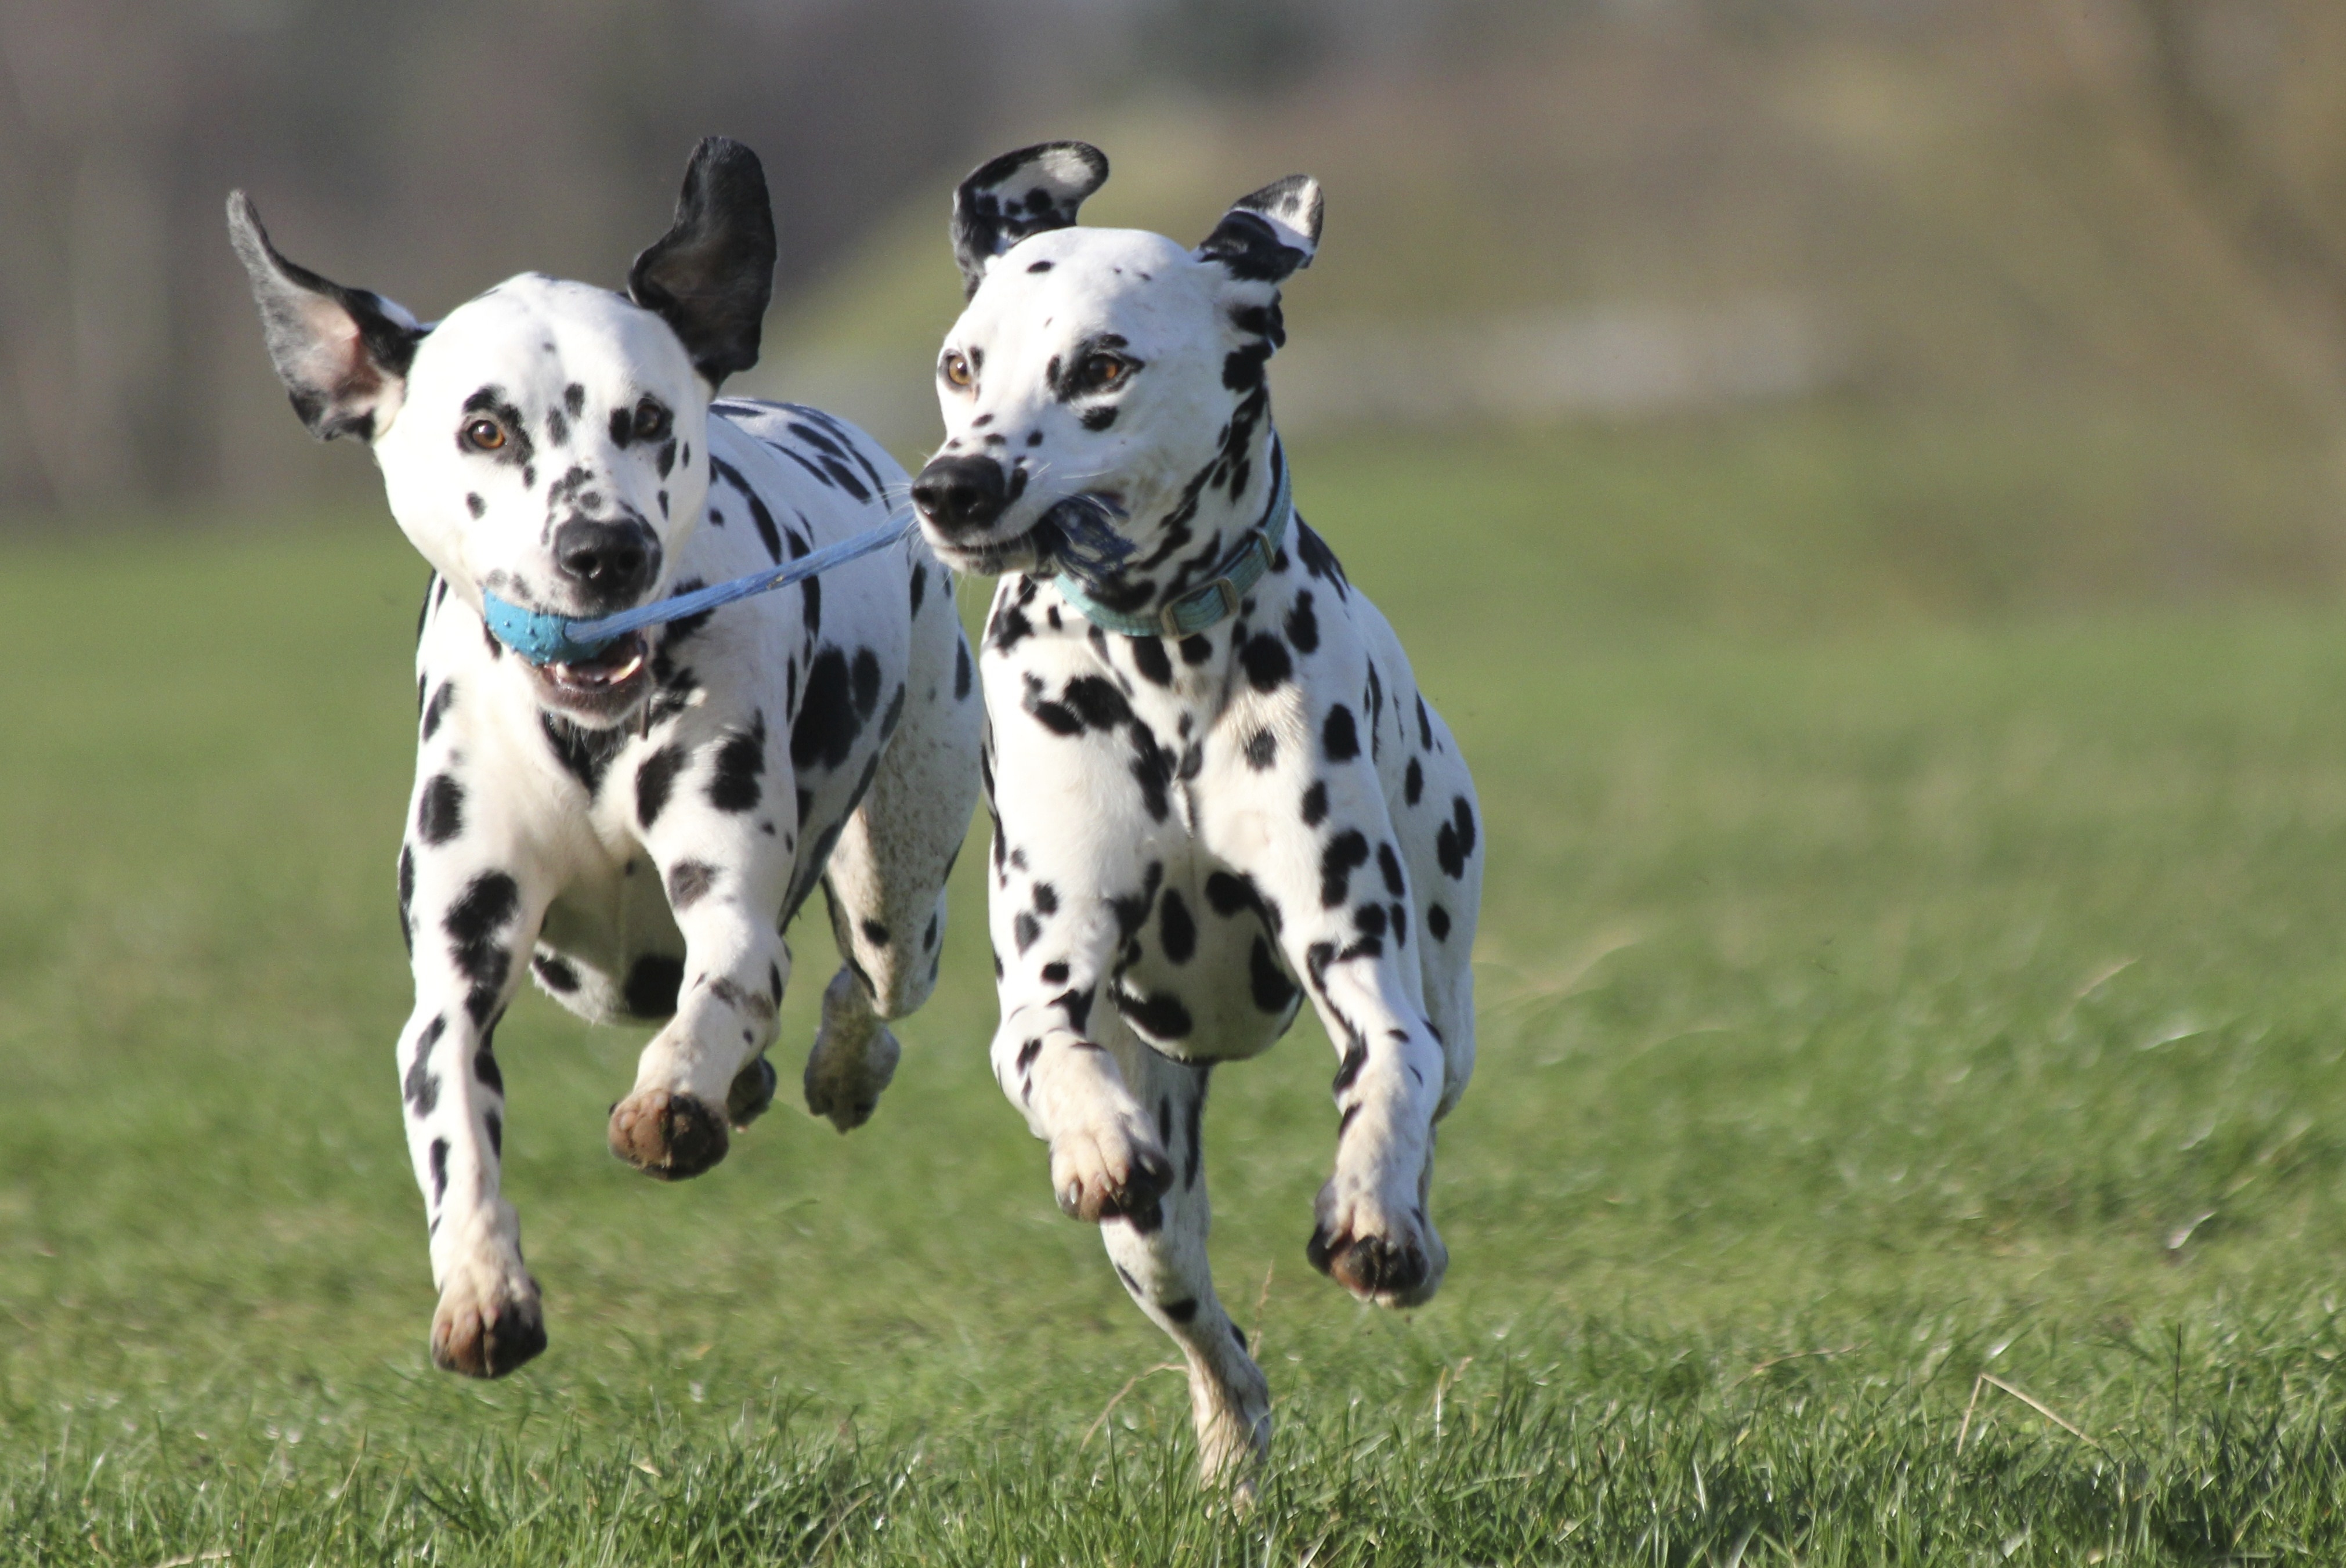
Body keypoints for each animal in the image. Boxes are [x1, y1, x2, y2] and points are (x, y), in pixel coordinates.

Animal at [229, 140, 980, 1380]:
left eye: (647, 420)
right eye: (485, 430)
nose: (603, 548)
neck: (583, 737)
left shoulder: (728, 902)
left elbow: (723, 987)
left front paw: (674, 1094)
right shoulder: (455, 972)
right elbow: (455, 1123)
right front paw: (482, 1286)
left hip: (899, 882)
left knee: (866, 979)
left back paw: (835, 1062)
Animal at [905, 143, 1473, 1483]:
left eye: (1101, 367)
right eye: (960, 364)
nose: (950, 486)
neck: (1163, 665)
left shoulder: (1361, 964)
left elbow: (1391, 1067)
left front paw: (1371, 1204)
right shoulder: (1045, 980)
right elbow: (1045, 1044)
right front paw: (1093, 1136)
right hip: (1150, 1237)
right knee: (1211, 1333)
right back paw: (1227, 1445)